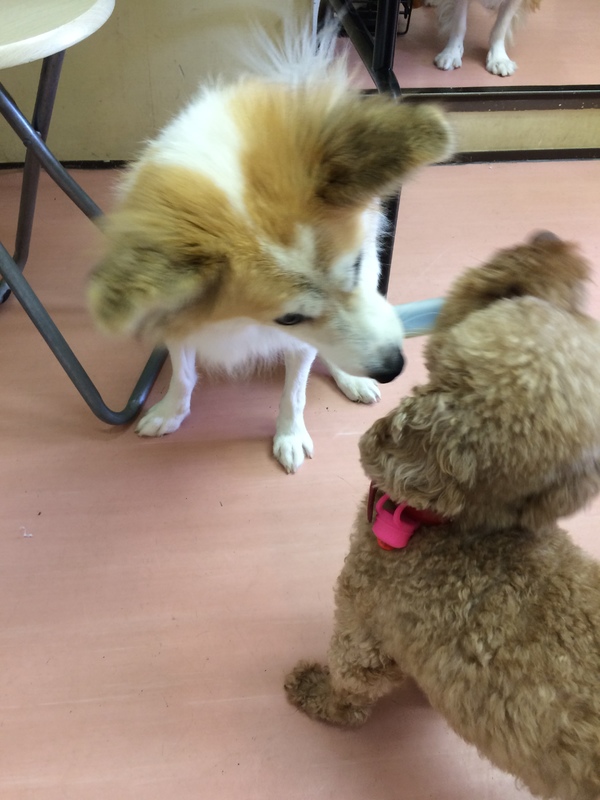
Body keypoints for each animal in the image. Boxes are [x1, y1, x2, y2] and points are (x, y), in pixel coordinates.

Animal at [87, 23, 453, 473]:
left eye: (354, 266)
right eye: (289, 317)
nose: (393, 366)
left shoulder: (309, 337)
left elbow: (294, 395)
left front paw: (290, 436)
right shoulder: (181, 319)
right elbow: (184, 373)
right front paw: (171, 411)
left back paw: (351, 379)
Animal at [285, 232, 600, 799]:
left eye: (503, 295)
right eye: (521, 295)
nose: (552, 240)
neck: (455, 528)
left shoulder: (363, 630)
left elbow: (351, 686)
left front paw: (316, 693)